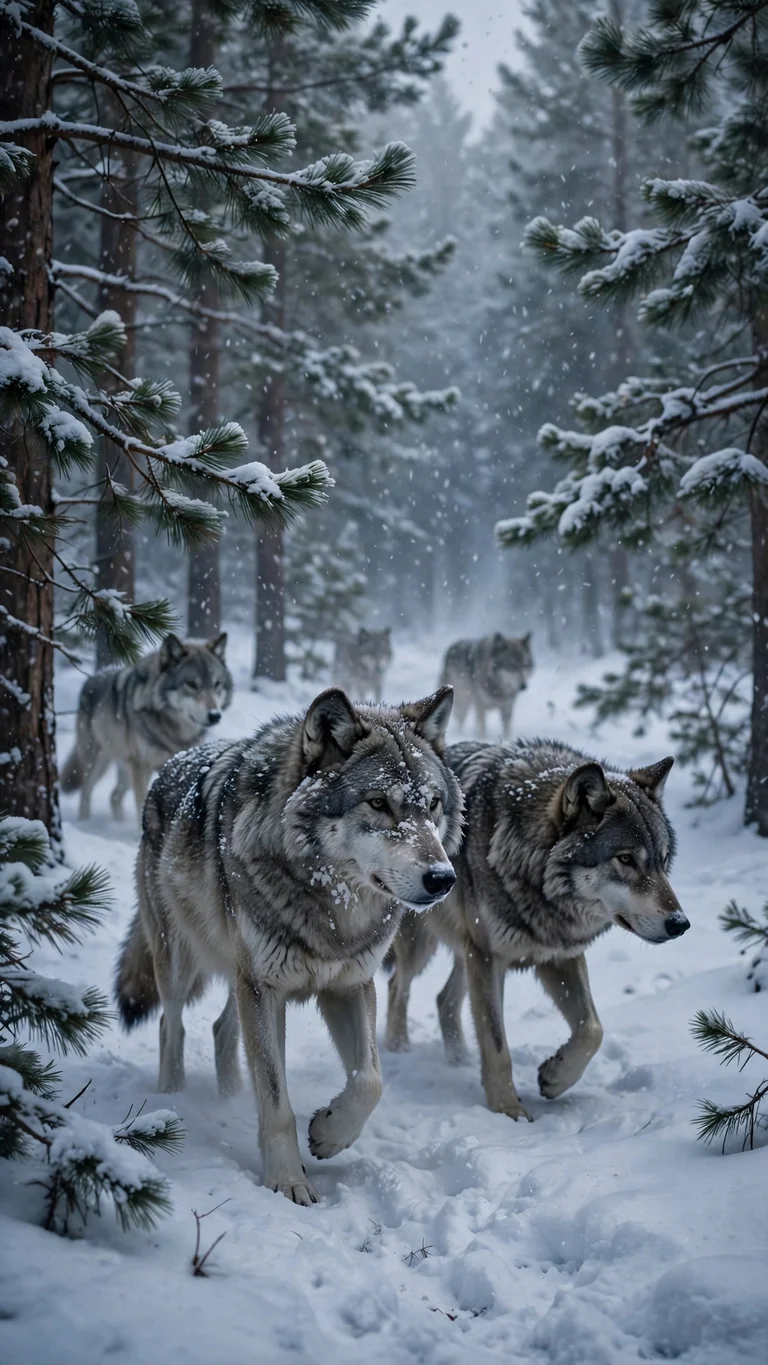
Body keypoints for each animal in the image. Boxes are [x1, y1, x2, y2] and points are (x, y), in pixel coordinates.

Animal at [61, 633, 232, 821]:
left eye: (217, 684)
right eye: (191, 684)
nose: (215, 715)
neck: (176, 733)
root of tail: (94, 676)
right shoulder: (142, 766)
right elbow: (142, 804)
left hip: (125, 769)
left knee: (114, 796)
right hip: (99, 763)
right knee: (86, 792)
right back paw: (84, 821)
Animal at [115, 686, 463, 1205]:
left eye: (434, 804)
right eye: (378, 802)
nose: (442, 879)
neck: (333, 913)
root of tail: (172, 762)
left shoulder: (349, 985)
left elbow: (371, 1080)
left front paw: (329, 1134)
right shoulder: (265, 988)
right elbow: (277, 1103)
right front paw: (287, 1181)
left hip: (239, 979)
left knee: (221, 1030)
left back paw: (230, 1095)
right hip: (180, 962)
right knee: (169, 1025)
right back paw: (173, 1100)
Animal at [384, 739, 689, 1119]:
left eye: (663, 860)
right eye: (626, 859)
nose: (680, 924)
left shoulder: (559, 955)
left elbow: (593, 1029)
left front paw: (555, 1077)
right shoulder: (490, 958)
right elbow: (497, 1046)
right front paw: (508, 1111)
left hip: (467, 950)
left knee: (444, 999)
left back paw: (459, 1061)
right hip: (424, 946)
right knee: (397, 986)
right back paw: (398, 1052)